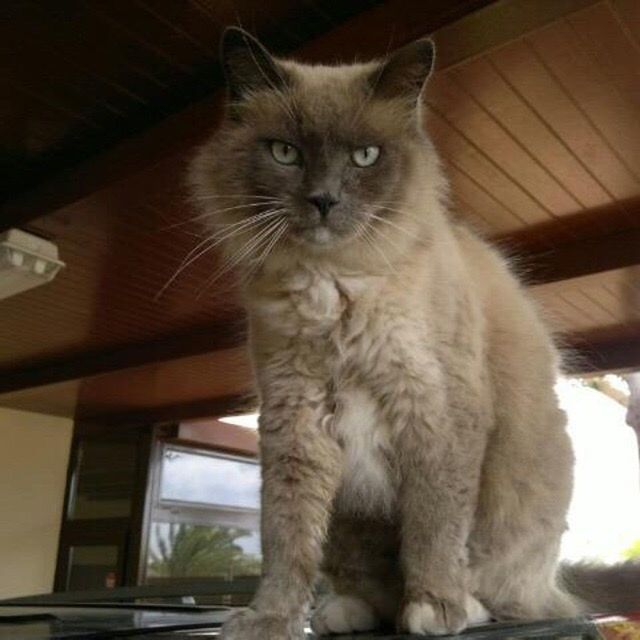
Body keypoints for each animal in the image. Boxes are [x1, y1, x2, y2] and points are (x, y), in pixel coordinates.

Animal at [188, 27, 632, 636]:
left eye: (364, 156)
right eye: (285, 152)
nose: (324, 200)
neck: (334, 283)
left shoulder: (434, 409)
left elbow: (435, 525)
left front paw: (432, 607)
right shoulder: (294, 418)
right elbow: (285, 538)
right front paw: (270, 619)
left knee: (509, 592)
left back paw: (462, 607)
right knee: (363, 580)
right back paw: (344, 612)